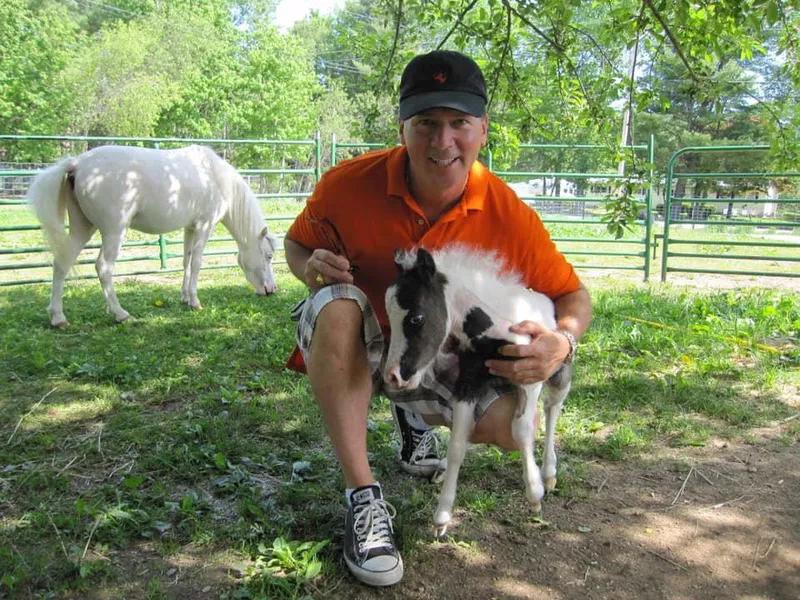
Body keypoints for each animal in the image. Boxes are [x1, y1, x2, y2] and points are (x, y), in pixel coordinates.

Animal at [26, 143, 278, 326]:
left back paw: (58, 318)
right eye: (268, 256)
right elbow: (197, 263)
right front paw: (195, 302)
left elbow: (186, 262)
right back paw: (120, 314)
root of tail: (77, 164)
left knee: (62, 263)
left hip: (82, 227)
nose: (271, 290)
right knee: (104, 267)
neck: (215, 178)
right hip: (114, 231)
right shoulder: (204, 226)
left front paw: (185, 297)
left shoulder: (190, 227)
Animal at [384, 246, 572, 536]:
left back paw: (549, 473)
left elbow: (521, 430)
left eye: (416, 317)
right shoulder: (467, 385)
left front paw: (534, 495)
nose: (393, 376)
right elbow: (457, 445)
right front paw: (442, 516)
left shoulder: (529, 378)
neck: (495, 332)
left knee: (552, 408)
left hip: (558, 374)